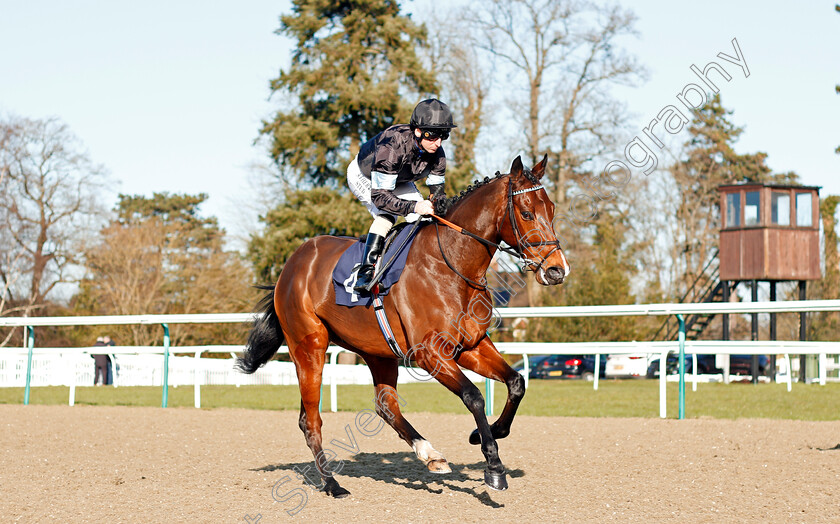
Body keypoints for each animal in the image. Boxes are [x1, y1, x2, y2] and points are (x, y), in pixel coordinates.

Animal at [243, 154, 572, 498]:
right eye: (526, 213)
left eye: (552, 210)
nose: (556, 270)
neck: (451, 264)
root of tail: (291, 266)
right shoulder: (429, 353)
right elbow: (474, 396)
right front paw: (494, 467)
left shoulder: (471, 346)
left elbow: (516, 382)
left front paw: (487, 433)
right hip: (309, 347)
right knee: (311, 420)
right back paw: (332, 483)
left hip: (378, 352)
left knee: (384, 405)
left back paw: (430, 455)